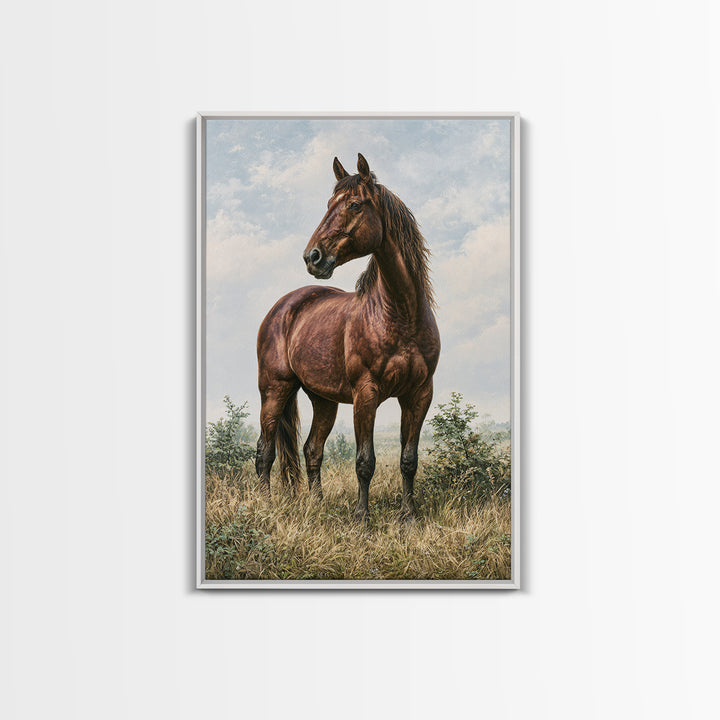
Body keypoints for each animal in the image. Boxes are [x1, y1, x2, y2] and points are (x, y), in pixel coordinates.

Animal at [255, 153, 440, 522]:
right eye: (329, 204)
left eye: (355, 205)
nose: (312, 257)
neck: (400, 314)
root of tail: (283, 307)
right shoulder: (366, 394)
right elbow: (364, 462)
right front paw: (362, 520)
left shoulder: (419, 394)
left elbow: (409, 460)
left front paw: (409, 517)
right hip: (274, 389)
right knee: (265, 451)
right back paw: (266, 507)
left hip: (322, 399)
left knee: (312, 450)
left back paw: (317, 506)